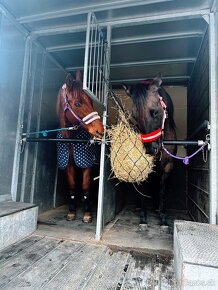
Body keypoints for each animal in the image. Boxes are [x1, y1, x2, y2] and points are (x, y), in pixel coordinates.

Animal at [56, 71, 104, 223]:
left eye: (91, 101)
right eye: (77, 103)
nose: (101, 130)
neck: (71, 139)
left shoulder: (87, 165)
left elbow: (85, 186)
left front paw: (87, 213)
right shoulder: (68, 164)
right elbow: (72, 186)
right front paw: (71, 211)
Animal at [122, 76, 177, 227]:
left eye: (155, 112)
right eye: (135, 117)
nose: (151, 149)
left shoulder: (168, 166)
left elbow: (162, 191)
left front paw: (163, 217)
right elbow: (143, 191)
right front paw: (143, 217)